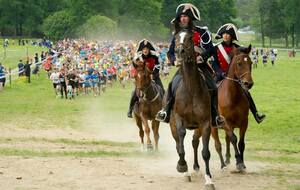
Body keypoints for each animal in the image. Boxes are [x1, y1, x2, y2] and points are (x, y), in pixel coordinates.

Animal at [169, 29, 216, 189]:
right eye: (176, 38)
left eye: (190, 38)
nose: (179, 51)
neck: (191, 90)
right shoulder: (178, 119)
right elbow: (181, 142)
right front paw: (182, 166)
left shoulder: (205, 123)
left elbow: (206, 152)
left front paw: (209, 180)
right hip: (172, 125)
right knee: (178, 144)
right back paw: (185, 171)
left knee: (195, 142)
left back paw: (194, 168)